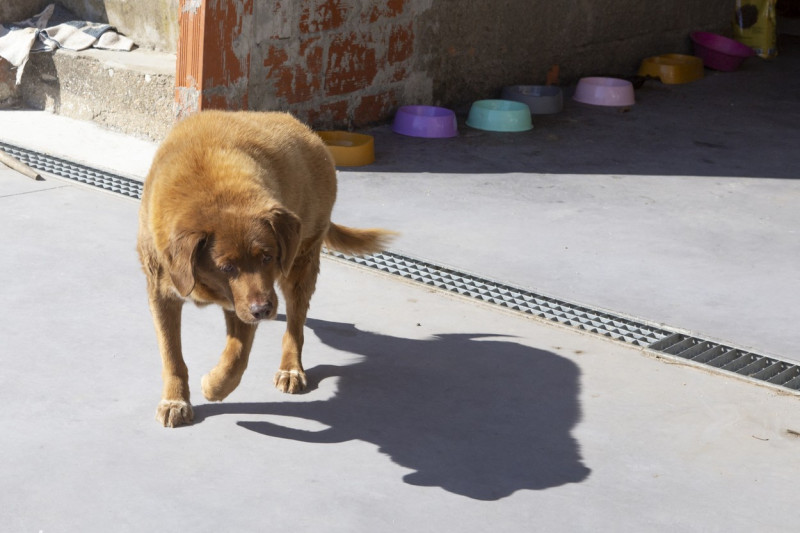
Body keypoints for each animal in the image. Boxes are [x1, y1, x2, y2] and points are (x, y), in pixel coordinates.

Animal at [141, 110, 396, 426]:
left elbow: (236, 357)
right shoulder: (163, 293)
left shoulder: (242, 303)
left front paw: (213, 385)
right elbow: (172, 355)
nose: (263, 310)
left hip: (300, 265)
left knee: (296, 326)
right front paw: (175, 401)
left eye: (267, 257)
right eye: (226, 267)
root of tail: (308, 132)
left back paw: (291, 368)